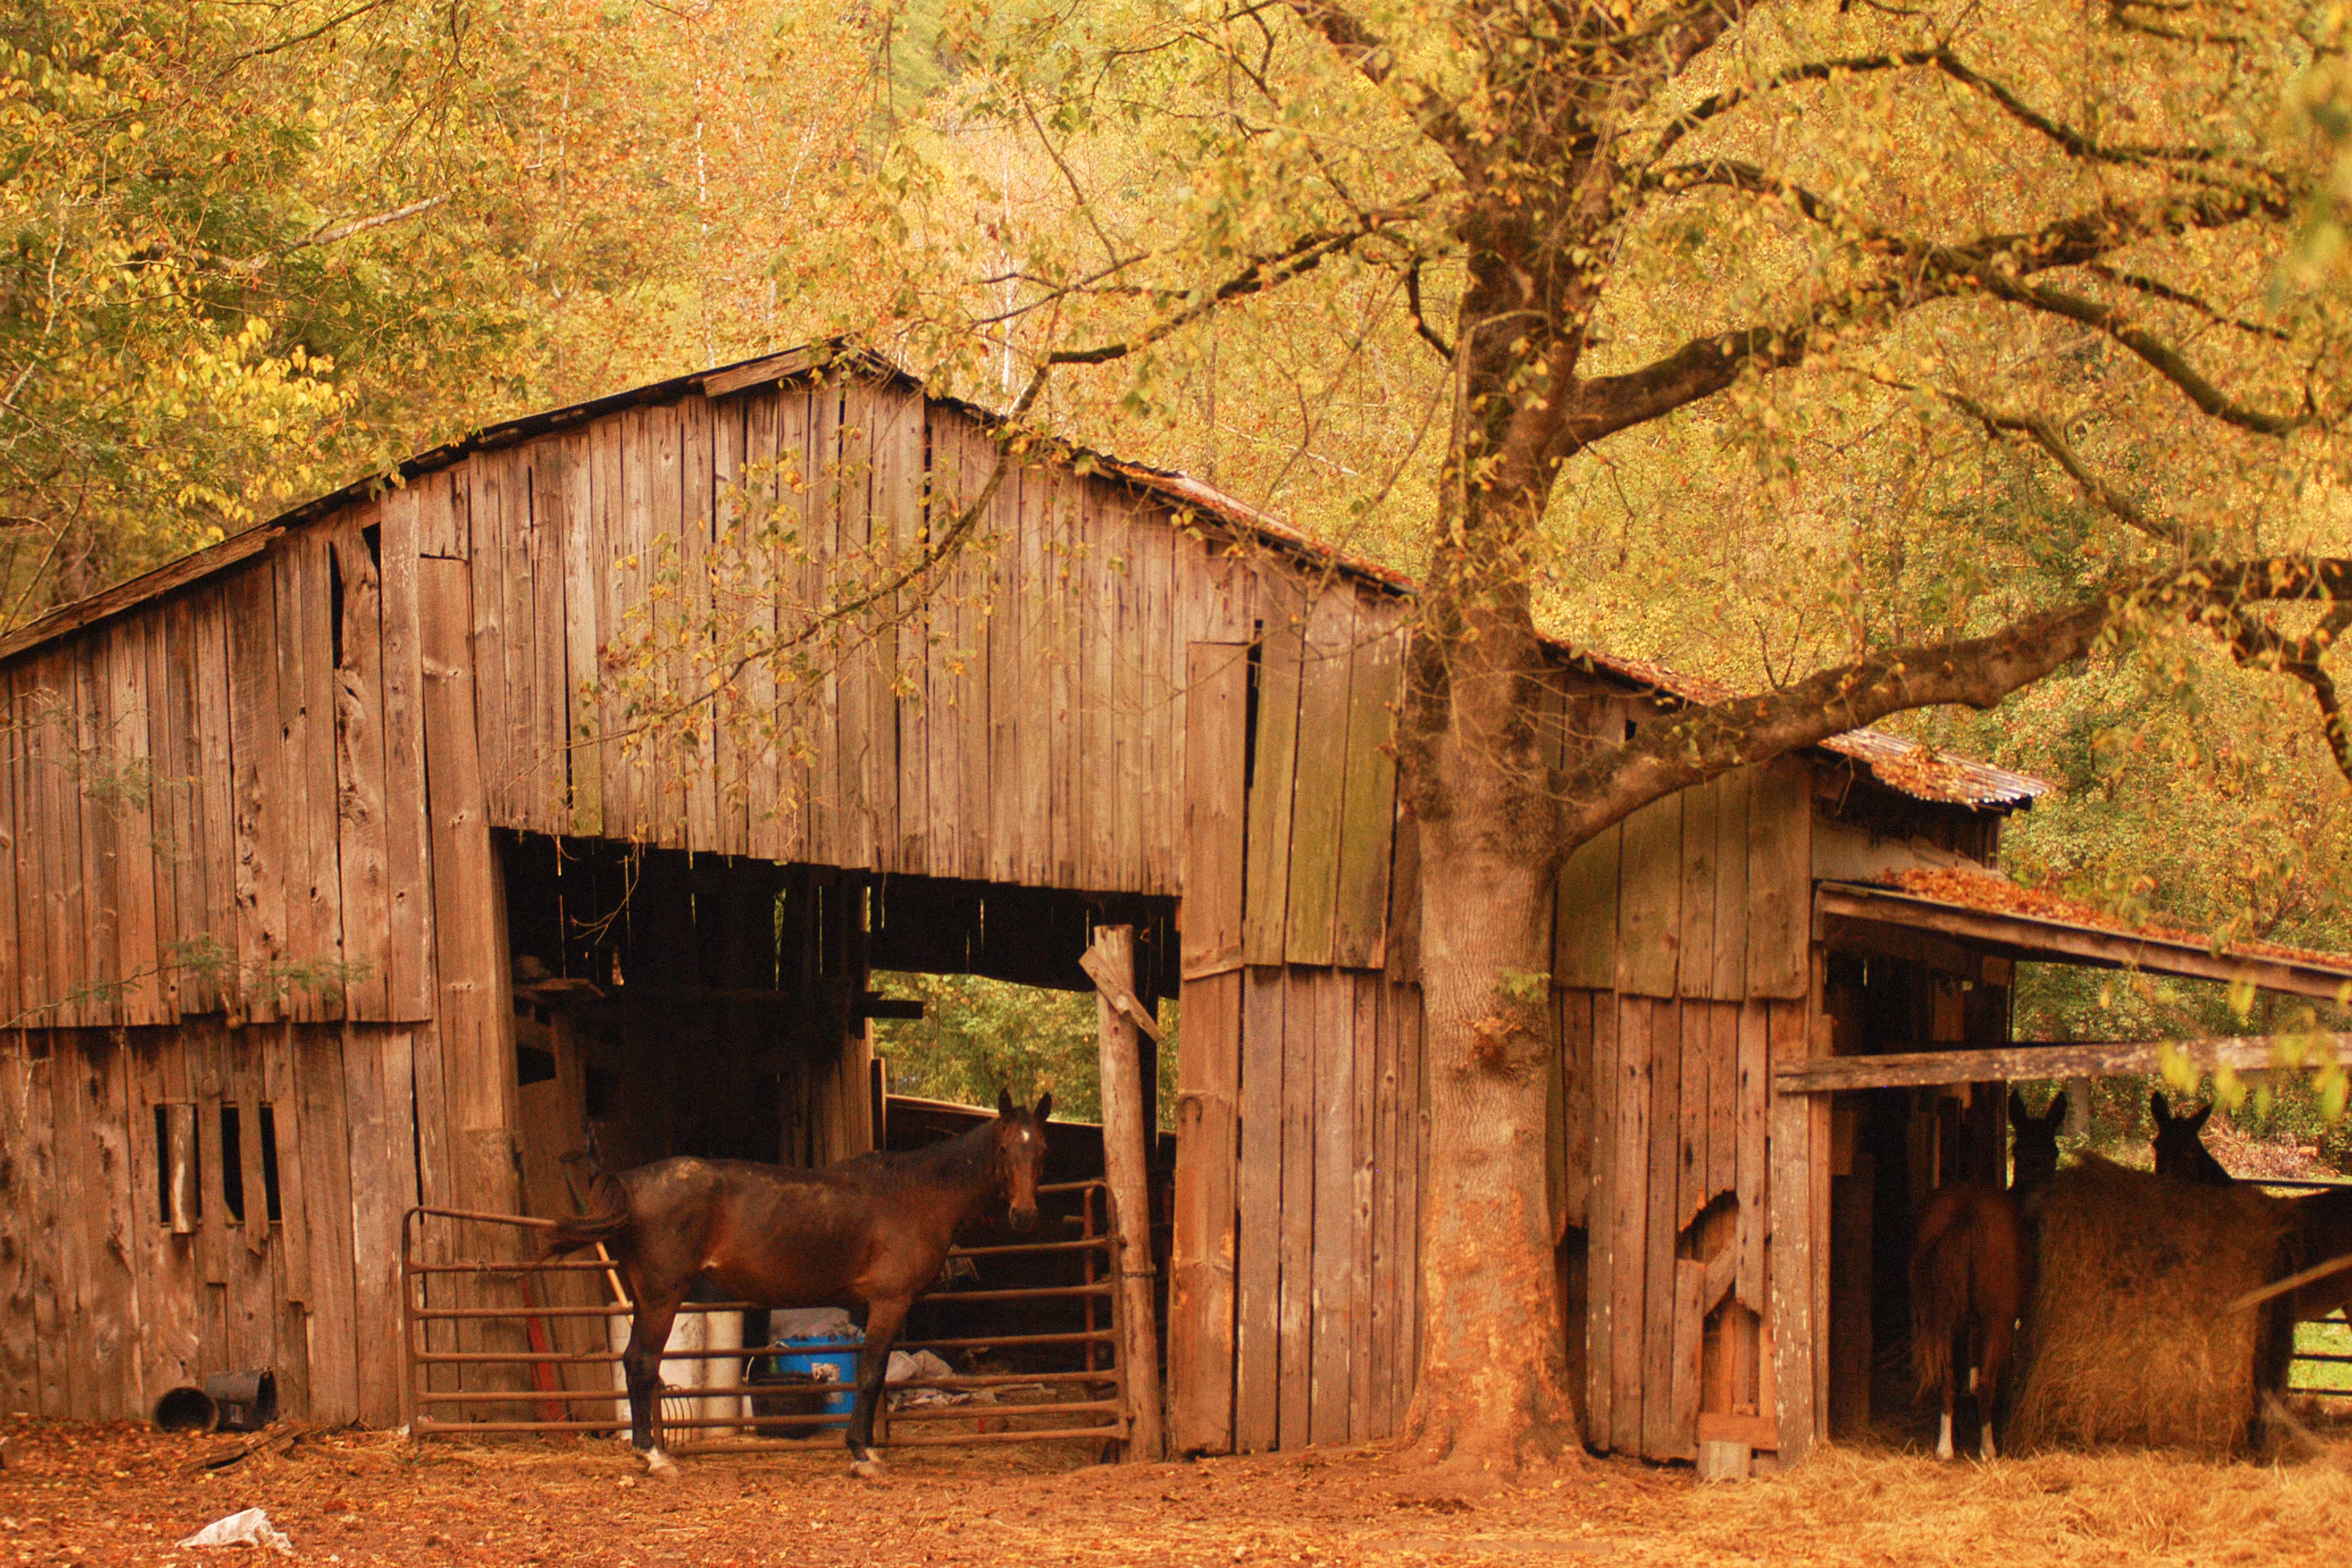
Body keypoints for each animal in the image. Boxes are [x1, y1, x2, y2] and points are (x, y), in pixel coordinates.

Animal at [546, 1089, 1052, 1479]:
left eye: (1042, 1149)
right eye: (1004, 1150)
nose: (1025, 1216)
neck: (917, 1194)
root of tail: (631, 1182)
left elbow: (875, 1375)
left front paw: (865, 1447)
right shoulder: (890, 1301)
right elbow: (871, 1375)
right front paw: (863, 1456)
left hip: (645, 1296)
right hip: (661, 1296)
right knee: (641, 1364)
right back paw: (655, 1457)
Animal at [1910, 1182, 2034, 1461]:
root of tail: (1968, 1209)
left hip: (1943, 1320)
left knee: (1947, 1379)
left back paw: (1945, 1449)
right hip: (1997, 1320)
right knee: (1988, 1384)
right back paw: (1988, 1450)